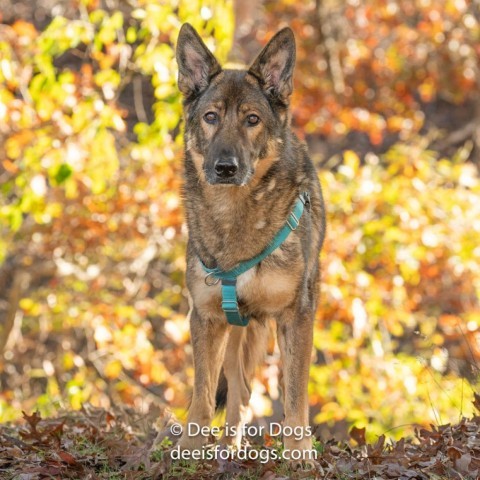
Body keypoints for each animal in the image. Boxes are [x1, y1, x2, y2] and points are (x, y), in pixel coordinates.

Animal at [174, 23, 324, 464]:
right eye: (210, 117)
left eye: (252, 120)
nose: (225, 168)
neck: (235, 215)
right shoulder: (205, 317)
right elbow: (203, 395)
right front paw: (189, 449)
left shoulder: (296, 316)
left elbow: (295, 397)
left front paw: (300, 456)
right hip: (238, 330)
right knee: (238, 392)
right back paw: (228, 447)